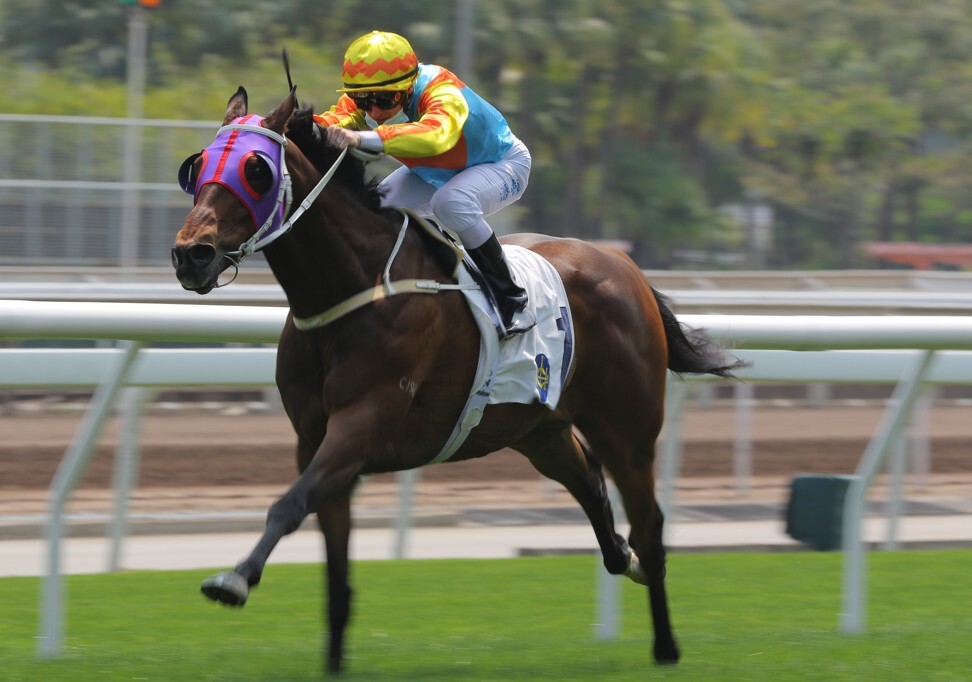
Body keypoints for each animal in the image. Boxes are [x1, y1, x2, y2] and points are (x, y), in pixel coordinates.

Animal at [169, 83, 744, 668]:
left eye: (256, 170)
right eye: (196, 167)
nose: (191, 254)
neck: (354, 289)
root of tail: (628, 271)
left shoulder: (360, 424)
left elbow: (287, 505)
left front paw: (235, 580)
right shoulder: (314, 440)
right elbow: (333, 572)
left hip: (626, 427)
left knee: (649, 522)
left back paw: (666, 645)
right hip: (540, 429)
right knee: (591, 485)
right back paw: (622, 559)